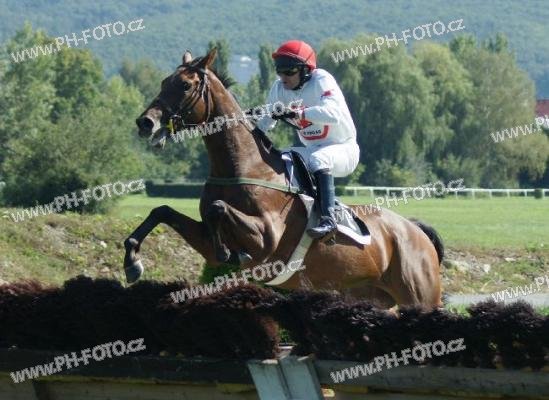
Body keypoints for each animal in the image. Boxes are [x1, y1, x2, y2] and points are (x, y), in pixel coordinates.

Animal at [125, 48, 444, 308]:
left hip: (420, 297)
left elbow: (218, 208)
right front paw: (132, 262)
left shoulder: (266, 241)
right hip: (370, 296)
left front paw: (230, 252)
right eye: (164, 82)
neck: (243, 167)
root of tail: (415, 230)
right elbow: (163, 210)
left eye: (185, 85)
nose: (145, 122)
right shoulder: (205, 241)